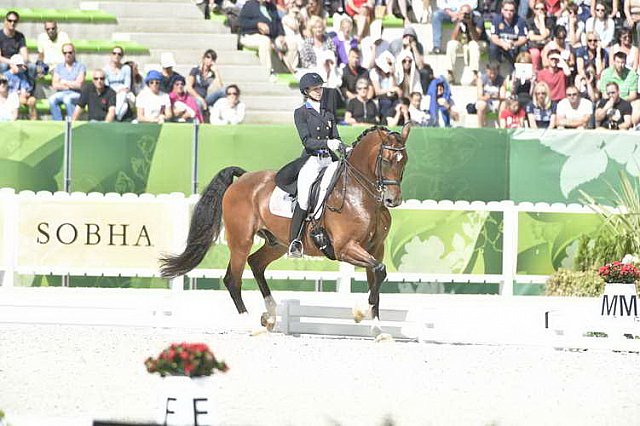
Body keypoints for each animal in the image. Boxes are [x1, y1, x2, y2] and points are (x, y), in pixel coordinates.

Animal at [159, 124, 410, 332]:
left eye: (404, 161)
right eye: (386, 160)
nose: (392, 200)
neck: (360, 193)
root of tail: (243, 178)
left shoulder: (376, 249)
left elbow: (377, 276)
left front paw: (377, 327)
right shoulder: (345, 248)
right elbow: (379, 272)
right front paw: (360, 313)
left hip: (278, 243)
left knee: (256, 263)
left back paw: (270, 315)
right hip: (241, 240)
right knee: (233, 279)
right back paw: (249, 322)